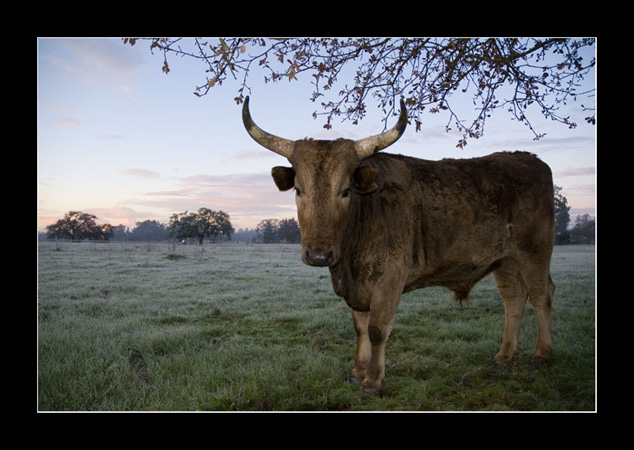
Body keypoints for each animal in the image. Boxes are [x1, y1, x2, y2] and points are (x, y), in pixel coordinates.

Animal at [242, 96, 552, 394]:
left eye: (346, 191)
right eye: (298, 190)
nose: (319, 255)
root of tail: (529, 159)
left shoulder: (390, 278)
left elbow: (377, 330)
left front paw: (372, 380)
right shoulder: (358, 286)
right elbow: (360, 328)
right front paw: (358, 371)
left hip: (535, 252)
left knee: (541, 295)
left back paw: (542, 354)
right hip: (505, 260)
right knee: (514, 298)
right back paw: (504, 356)